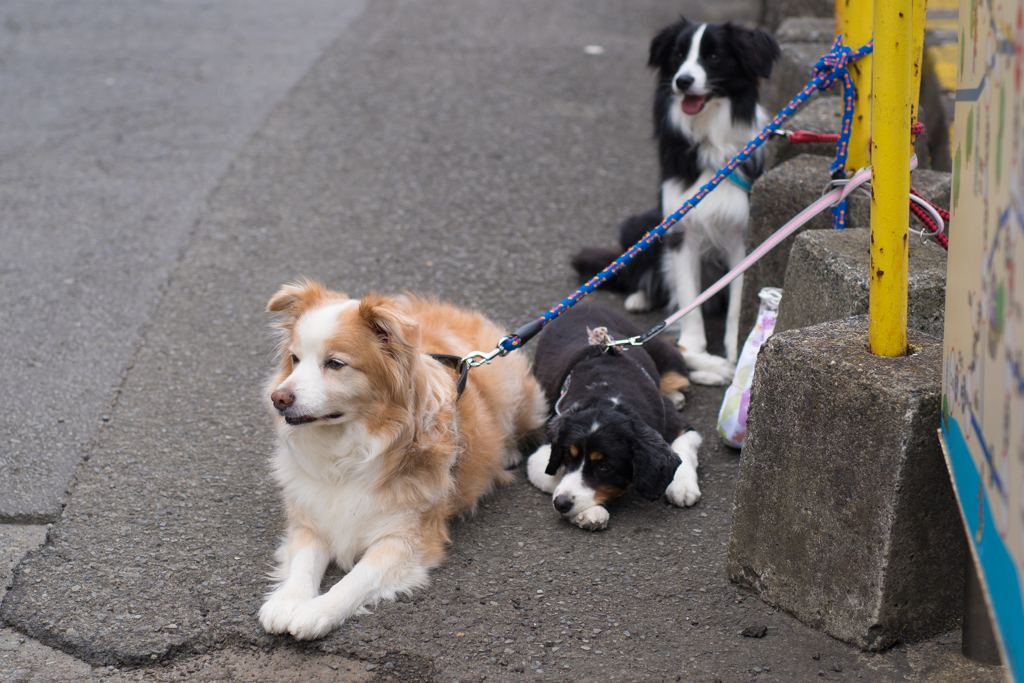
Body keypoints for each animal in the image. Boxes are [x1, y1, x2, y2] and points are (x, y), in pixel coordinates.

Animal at [258, 278, 544, 643]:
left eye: (335, 364)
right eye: (295, 359)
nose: (278, 398)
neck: (346, 452)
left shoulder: (408, 537)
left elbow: (356, 579)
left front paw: (317, 611)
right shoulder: (312, 517)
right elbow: (303, 564)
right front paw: (287, 601)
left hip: (516, 395)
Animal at [528, 305, 704, 532]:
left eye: (604, 466)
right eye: (567, 455)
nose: (561, 504)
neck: (610, 395)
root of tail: (584, 305)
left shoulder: (676, 423)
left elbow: (684, 448)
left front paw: (683, 487)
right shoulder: (544, 450)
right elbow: (556, 478)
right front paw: (591, 513)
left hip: (646, 342)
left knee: (678, 354)